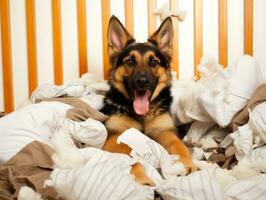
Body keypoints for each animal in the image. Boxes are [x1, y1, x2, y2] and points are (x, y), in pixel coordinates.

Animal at [101, 15, 196, 186]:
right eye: (130, 61)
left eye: (153, 62)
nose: (142, 82)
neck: (142, 116)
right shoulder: (114, 138)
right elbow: (129, 154)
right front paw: (142, 176)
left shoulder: (166, 132)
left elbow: (179, 145)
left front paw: (187, 163)